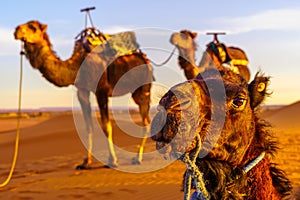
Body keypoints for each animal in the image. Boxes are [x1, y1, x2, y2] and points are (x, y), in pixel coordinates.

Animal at [14, 20, 154, 168]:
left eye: (33, 27)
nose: (16, 30)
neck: (77, 64)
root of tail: (145, 59)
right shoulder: (82, 91)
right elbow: (88, 127)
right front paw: (86, 162)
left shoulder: (101, 90)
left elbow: (106, 126)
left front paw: (112, 160)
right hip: (135, 92)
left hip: (143, 88)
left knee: (146, 121)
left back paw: (138, 158)